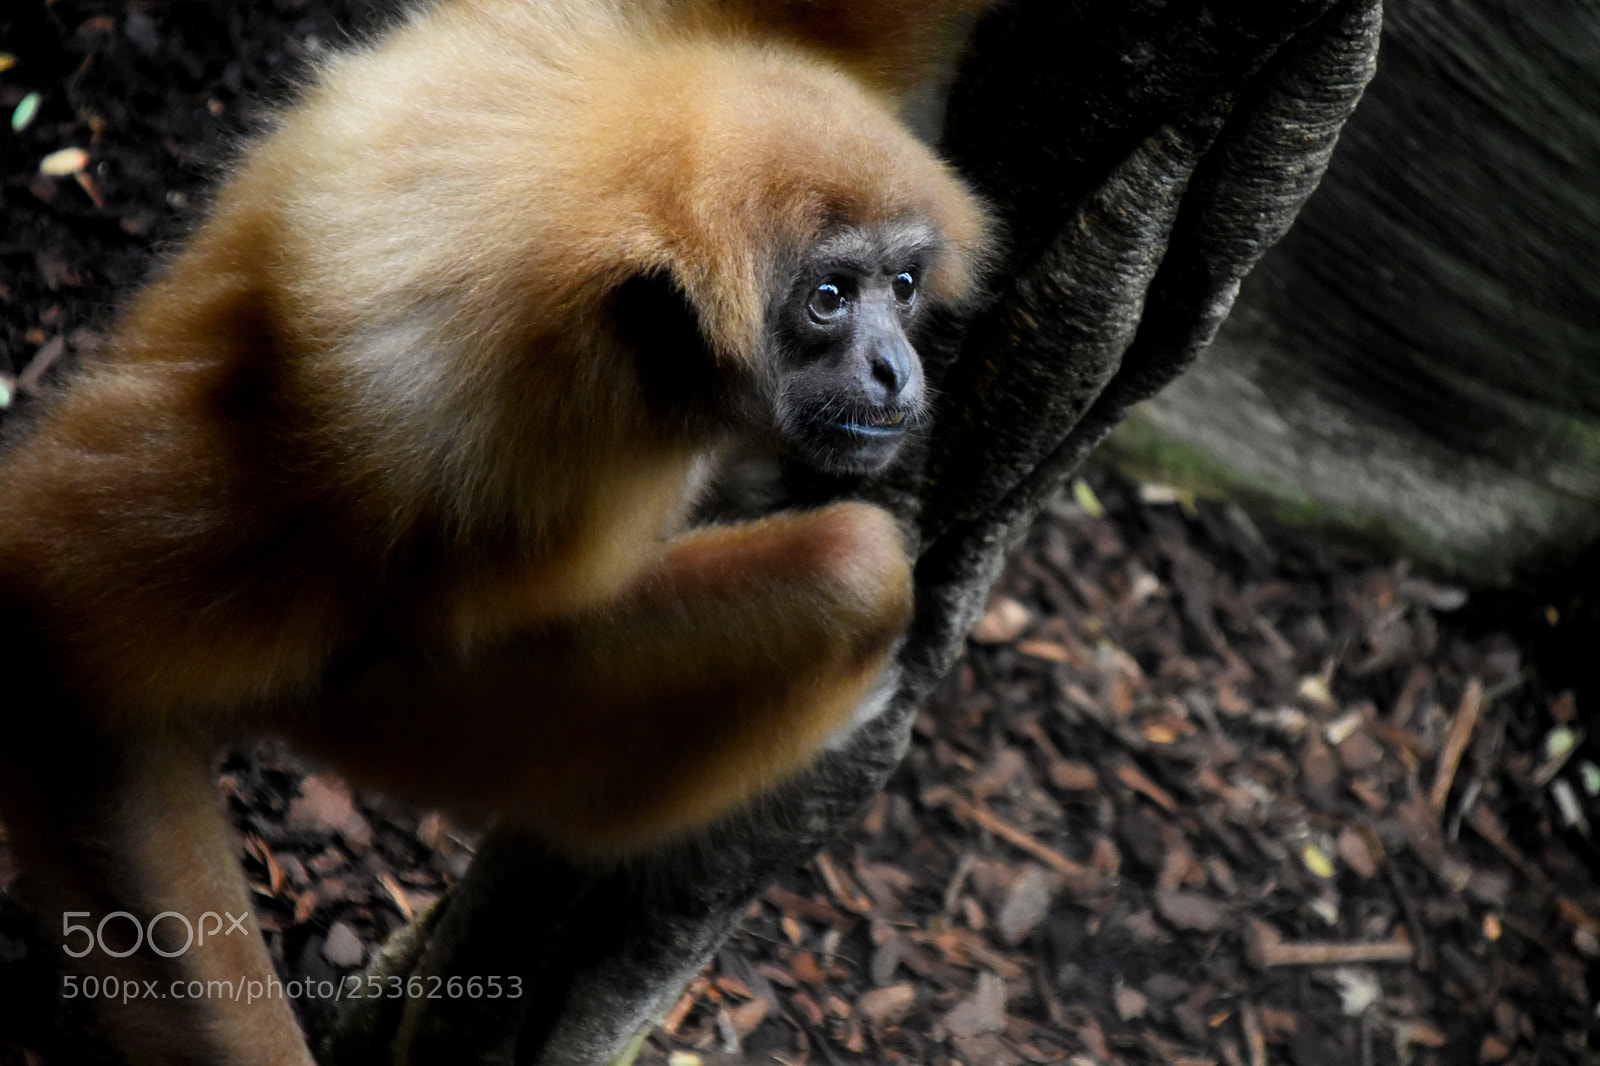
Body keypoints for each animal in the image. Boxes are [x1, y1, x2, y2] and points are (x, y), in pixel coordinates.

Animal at [0, 1, 993, 1062]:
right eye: (829, 299)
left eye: (902, 284)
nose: (894, 368)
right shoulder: (387, 421)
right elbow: (72, 679)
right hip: (388, 718)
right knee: (851, 571)